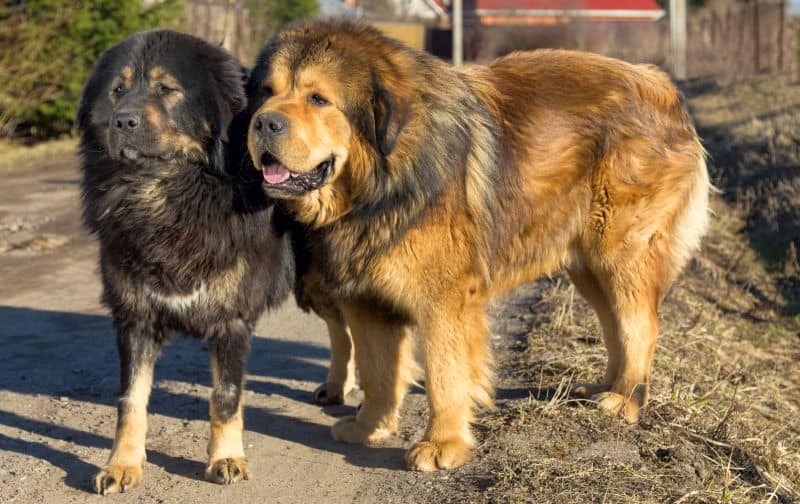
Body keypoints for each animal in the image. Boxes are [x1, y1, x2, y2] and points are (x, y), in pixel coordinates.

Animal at [78, 30, 294, 492]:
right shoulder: (135, 317)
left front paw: (226, 458)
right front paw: (121, 464)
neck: (163, 195)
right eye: (117, 90)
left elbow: (225, 396)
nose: (123, 121)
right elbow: (131, 400)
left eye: (166, 89)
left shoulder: (231, 318)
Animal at [242, 18, 708, 468]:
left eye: (319, 99)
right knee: (614, 325)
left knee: (640, 325)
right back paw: (603, 388)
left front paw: (442, 444)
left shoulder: (443, 299)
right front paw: (370, 426)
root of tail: (662, 86)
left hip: (620, 252)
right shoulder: (365, 300)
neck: (381, 186)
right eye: (266, 92)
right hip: (586, 263)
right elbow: (377, 371)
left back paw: (626, 400)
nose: (263, 122)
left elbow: (445, 373)